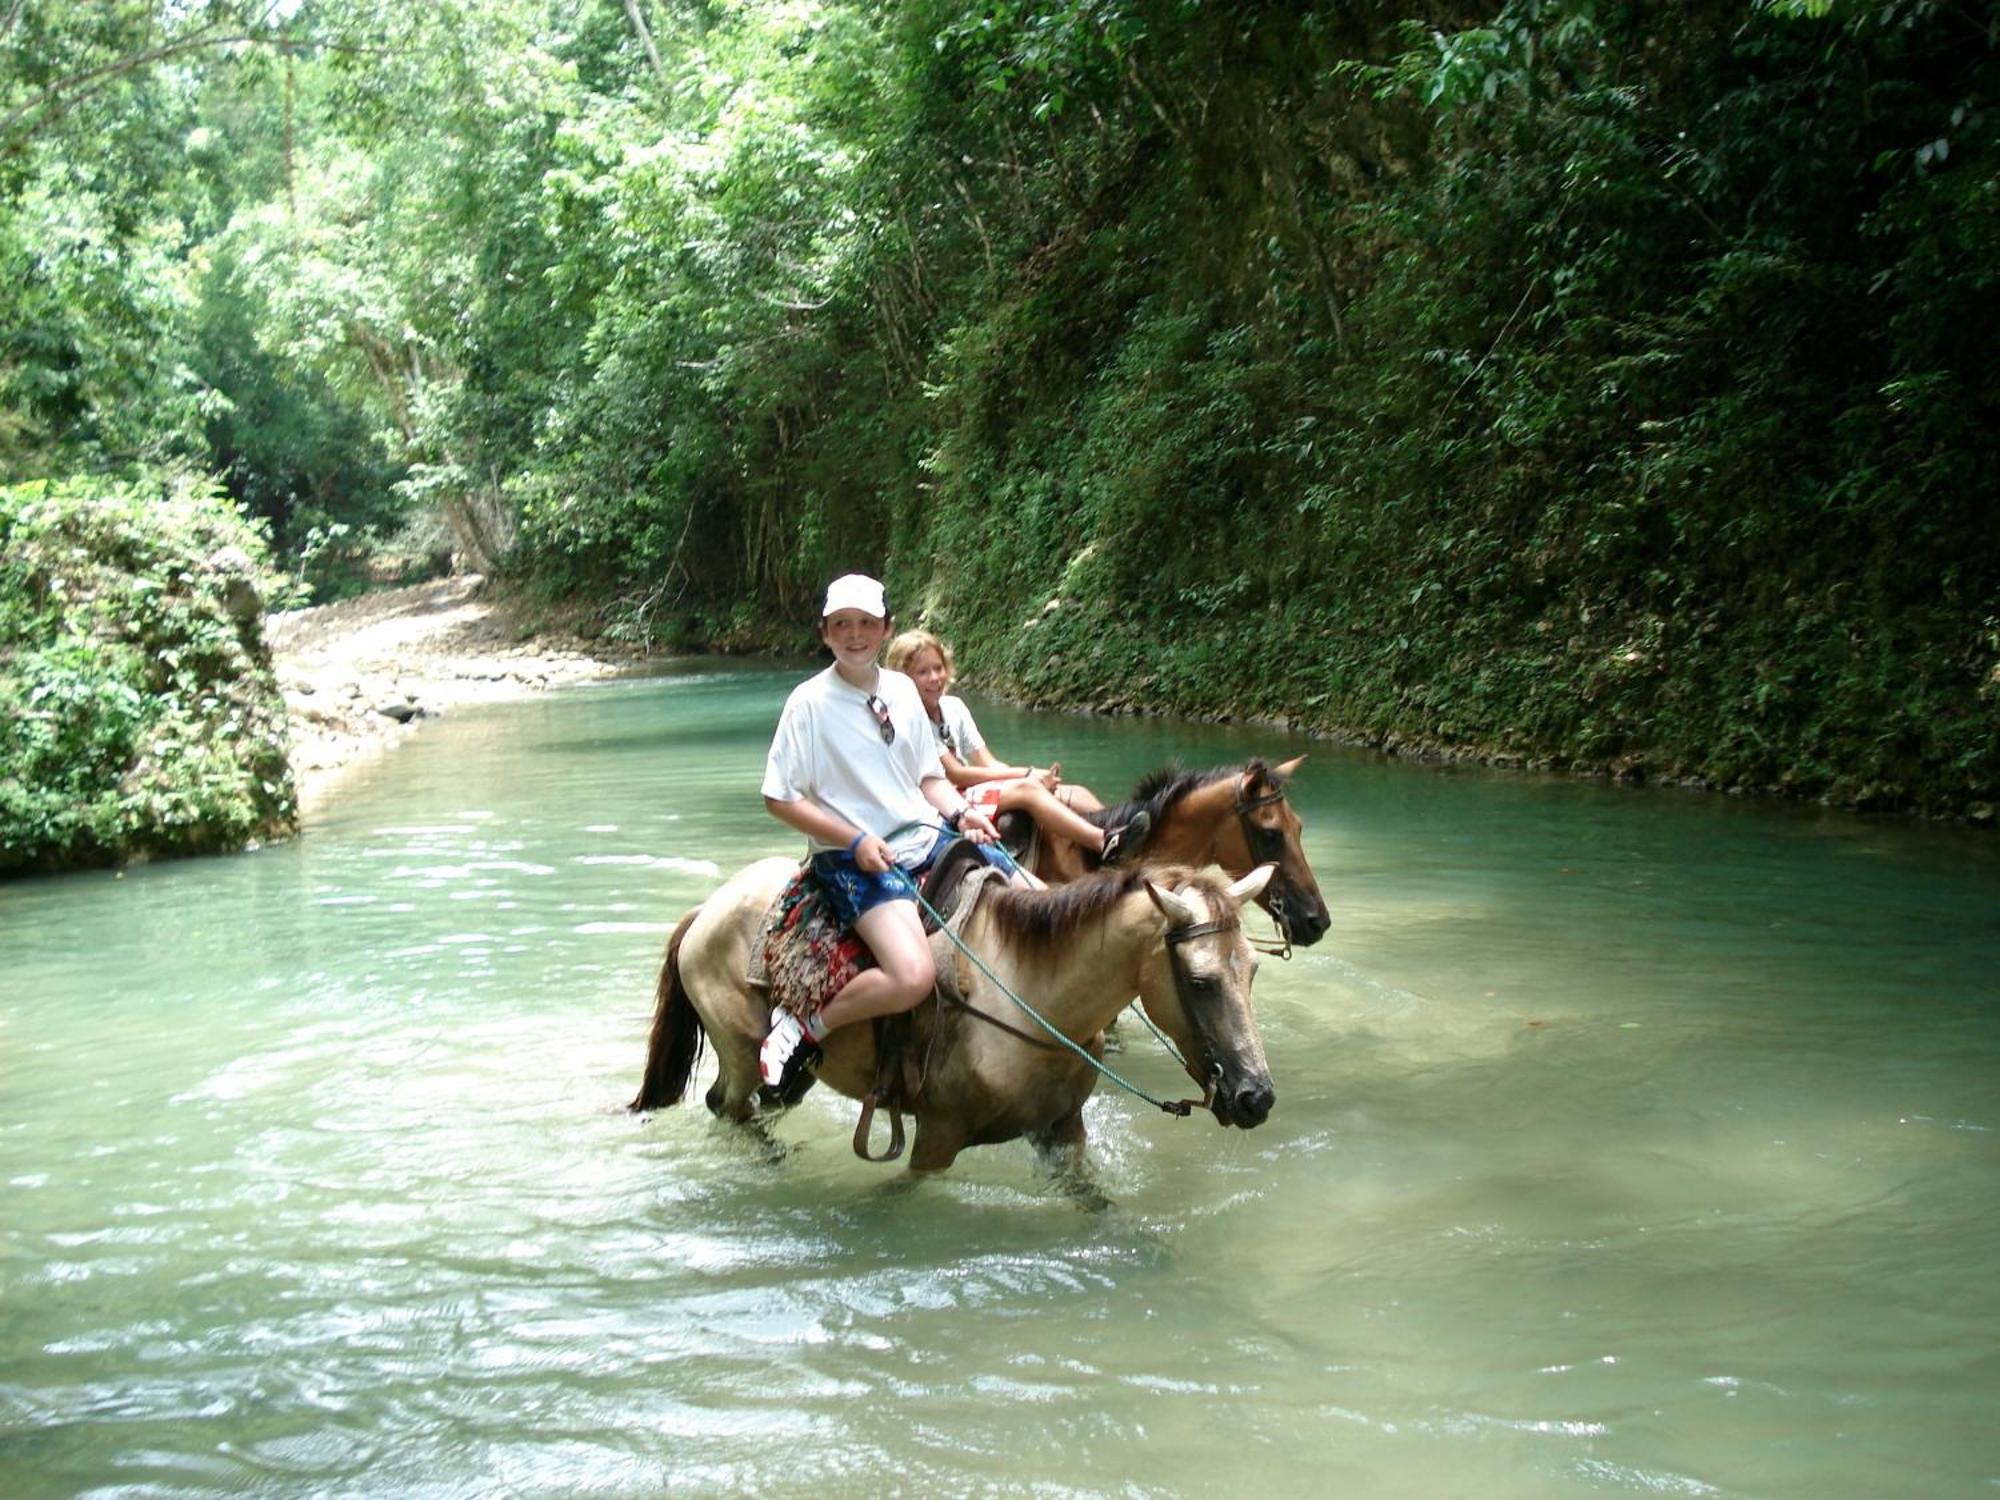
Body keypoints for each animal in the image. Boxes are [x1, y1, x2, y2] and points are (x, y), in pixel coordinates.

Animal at [628, 864, 1280, 1184]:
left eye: (1252, 970)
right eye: (1201, 981)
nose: (1256, 1098)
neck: (1030, 997)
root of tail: (706, 910)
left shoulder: (1060, 1131)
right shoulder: (935, 1140)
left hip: (794, 1073)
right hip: (738, 1052)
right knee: (726, 1106)